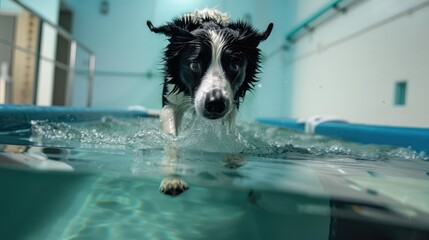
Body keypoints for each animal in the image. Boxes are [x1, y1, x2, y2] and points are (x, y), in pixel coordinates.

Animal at [147, 9, 272, 196]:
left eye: (234, 66)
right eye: (194, 65)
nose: (215, 103)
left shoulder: (231, 105)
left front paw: (231, 161)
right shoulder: (171, 101)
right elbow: (172, 141)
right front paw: (172, 178)